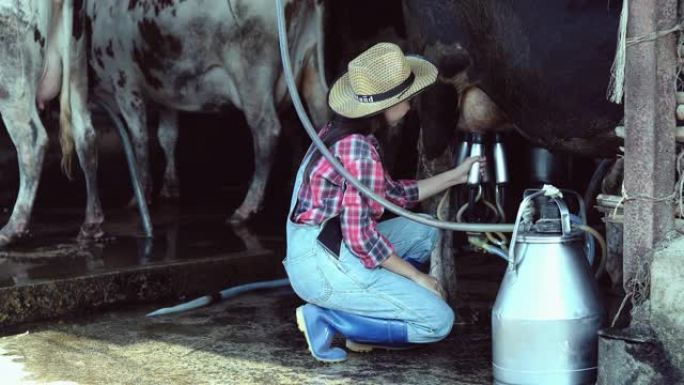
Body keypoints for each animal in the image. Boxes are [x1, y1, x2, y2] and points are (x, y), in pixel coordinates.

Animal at [0, 0, 103, 246]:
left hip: (11, 77)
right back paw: (91, 224)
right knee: (86, 134)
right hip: (76, 65)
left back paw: (11, 229)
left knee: (32, 141)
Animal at [86, 0, 328, 222]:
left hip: (252, 77)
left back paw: (246, 207)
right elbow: (167, 137)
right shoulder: (166, 92)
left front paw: (140, 197)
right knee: (321, 117)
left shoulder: (125, 83)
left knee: (267, 132)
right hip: (311, 64)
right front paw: (170, 188)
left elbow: (140, 141)